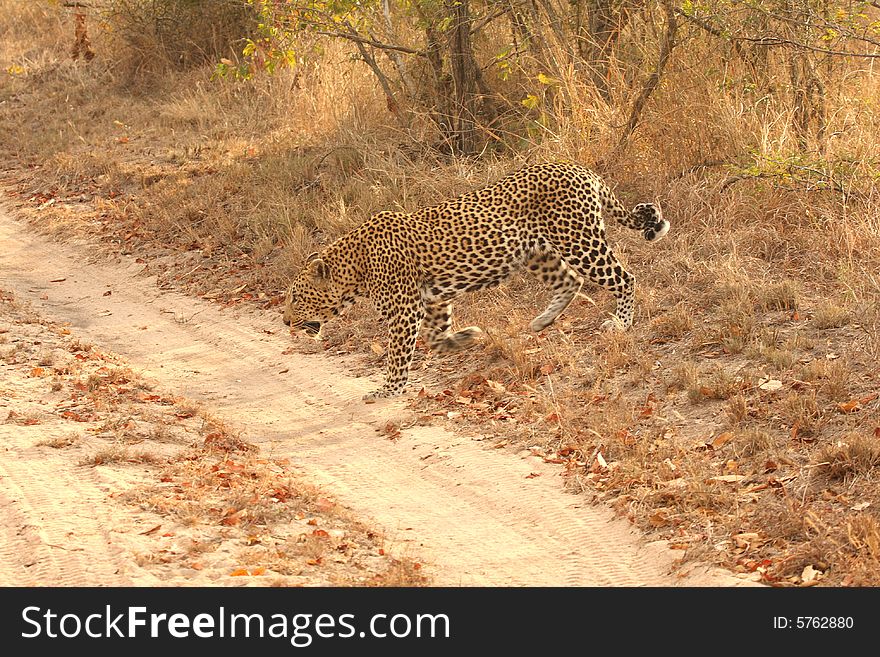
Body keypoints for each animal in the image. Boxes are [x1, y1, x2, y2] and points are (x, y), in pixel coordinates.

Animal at [282, 161, 668, 402]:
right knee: (569, 281)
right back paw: (543, 321)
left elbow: (398, 354)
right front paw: (465, 338)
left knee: (625, 277)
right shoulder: (432, 298)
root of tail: (581, 169)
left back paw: (620, 323)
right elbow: (436, 338)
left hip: (580, 241)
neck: (355, 267)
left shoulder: (404, 309)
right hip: (537, 252)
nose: (284, 321)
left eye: (296, 298)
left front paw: (387, 390)